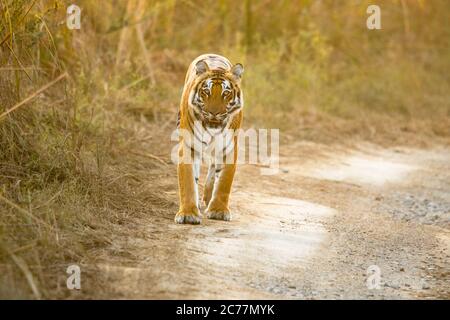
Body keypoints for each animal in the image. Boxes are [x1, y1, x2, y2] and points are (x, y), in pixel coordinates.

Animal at [175, 53, 244, 224]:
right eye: (206, 91)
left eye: (226, 93)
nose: (214, 113)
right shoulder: (188, 147)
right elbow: (188, 181)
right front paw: (188, 213)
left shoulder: (229, 149)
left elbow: (224, 182)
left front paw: (218, 211)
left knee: (214, 168)